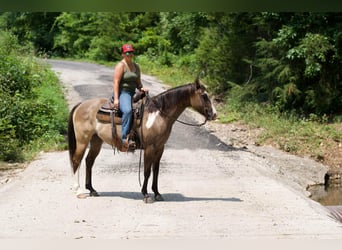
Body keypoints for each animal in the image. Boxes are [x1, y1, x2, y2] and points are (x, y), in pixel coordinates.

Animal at [68, 78, 216, 203]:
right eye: (204, 96)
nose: (214, 114)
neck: (158, 114)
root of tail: (81, 105)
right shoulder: (150, 148)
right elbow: (147, 171)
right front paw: (145, 194)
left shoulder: (160, 148)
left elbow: (156, 170)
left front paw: (157, 193)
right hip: (82, 140)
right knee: (76, 160)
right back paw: (78, 191)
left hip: (96, 141)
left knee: (89, 161)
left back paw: (92, 190)